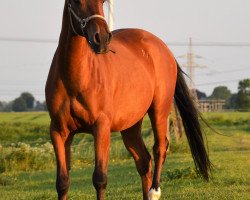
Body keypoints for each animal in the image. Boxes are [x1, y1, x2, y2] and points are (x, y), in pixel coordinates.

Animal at [45, 0, 211, 199]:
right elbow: (63, 182)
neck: (75, 78)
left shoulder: (101, 127)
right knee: (144, 161)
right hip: (131, 126)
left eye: (102, 2)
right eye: (76, 2)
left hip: (160, 110)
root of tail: (163, 48)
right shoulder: (59, 131)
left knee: (160, 148)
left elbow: (100, 179)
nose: (101, 38)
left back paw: (154, 192)